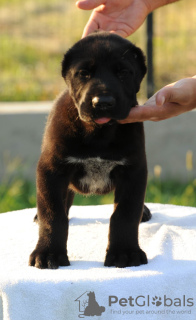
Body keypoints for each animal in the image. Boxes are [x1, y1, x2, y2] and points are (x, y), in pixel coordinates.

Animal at [29, 31, 152, 270]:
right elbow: (53, 214)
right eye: (84, 73)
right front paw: (48, 253)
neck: (98, 133)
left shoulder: (133, 171)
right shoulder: (52, 169)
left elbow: (125, 214)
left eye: (123, 72)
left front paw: (124, 252)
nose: (102, 102)